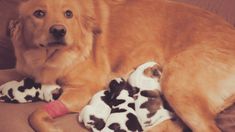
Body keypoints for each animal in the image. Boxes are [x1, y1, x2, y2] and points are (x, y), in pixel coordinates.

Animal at [1, 0, 235, 131]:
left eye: (69, 14)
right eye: (38, 13)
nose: (59, 31)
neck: (48, 58)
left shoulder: (82, 90)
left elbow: (35, 114)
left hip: (177, 85)